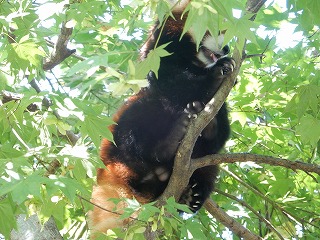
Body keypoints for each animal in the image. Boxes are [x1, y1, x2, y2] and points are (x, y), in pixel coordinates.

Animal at [89, 0, 235, 234]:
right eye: (213, 28)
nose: (227, 48)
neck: (192, 59)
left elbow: (222, 133)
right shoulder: (156, 60)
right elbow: (174, 82)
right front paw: (214, 75)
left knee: (209, 160)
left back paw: (190, 194)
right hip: (123, 133)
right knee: (136, 126)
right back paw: (166, 145)